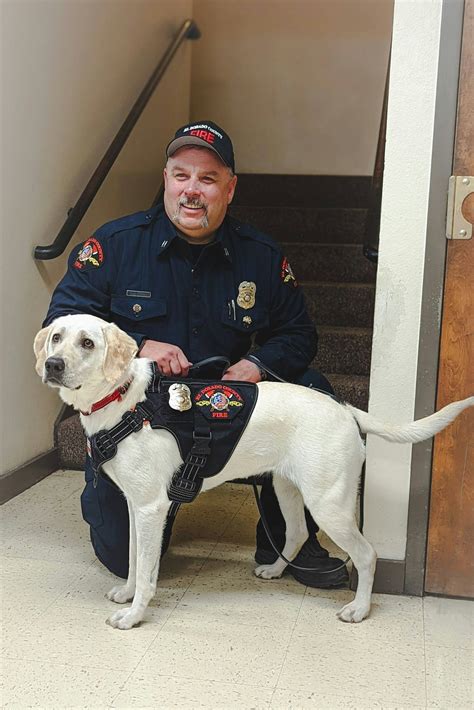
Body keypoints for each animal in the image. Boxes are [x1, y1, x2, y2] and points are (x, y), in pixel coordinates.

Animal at [34, 314, 474, 632]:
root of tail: (345, 408)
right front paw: (127, 594)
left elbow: (146, 572)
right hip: (286, 488)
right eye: (56, 337)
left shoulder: (150, 509)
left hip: (329, 504)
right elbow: (131, 561)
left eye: (88, 343)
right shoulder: (134, 507)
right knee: (296, 533)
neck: (125, 400)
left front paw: (135, 615)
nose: (52, 365)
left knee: (366, 555)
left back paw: (359, 609)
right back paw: (276, 570)